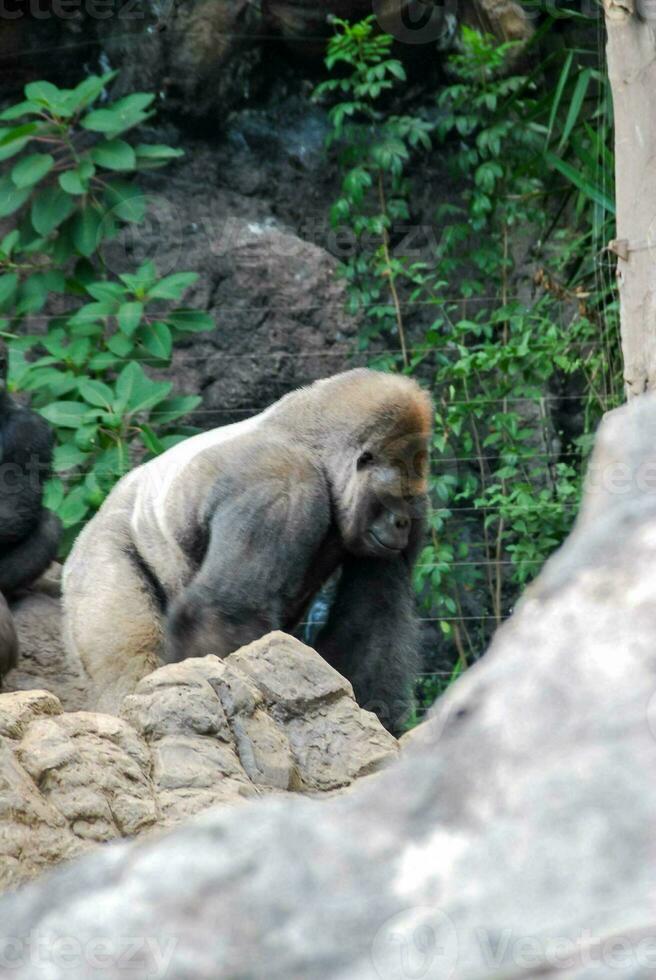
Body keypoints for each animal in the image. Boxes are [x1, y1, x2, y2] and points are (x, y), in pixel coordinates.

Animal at [61, 372, 434, 732]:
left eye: (410, 500)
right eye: (395, 496)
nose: (402, 523)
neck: (317, 450)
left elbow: (372, 617)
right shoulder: (280, 484)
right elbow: (221, 614)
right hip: (96, 555)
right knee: (128, 653)